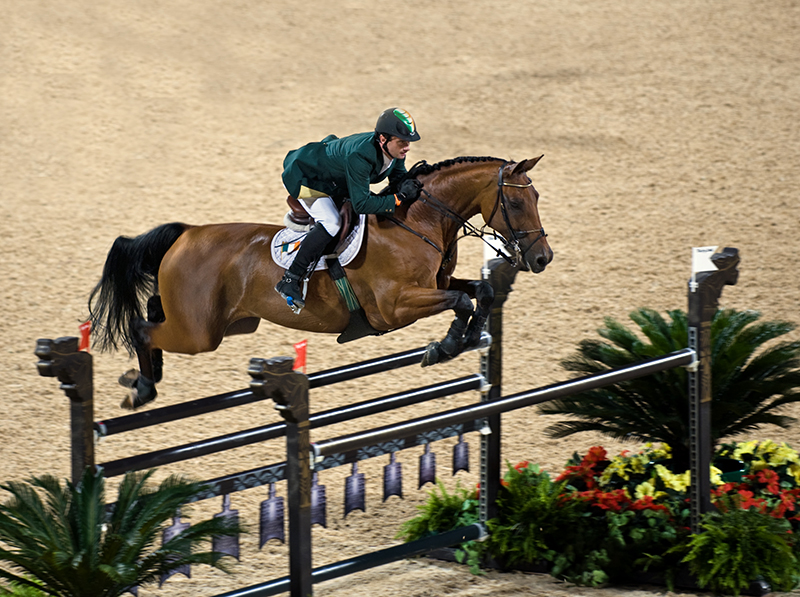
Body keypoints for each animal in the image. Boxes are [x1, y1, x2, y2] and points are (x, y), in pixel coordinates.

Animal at [86, 155, 552, 410]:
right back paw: (142, 388)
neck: (417, 220)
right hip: (200, 334)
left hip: (219, 322)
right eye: (514, 202)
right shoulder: (396, 306)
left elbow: (480, 291)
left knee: (153, 313)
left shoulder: (437, 281)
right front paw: (446, 346)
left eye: (537, 197)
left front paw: (469, 338)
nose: (542, 258)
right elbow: (459, 299)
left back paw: (147, 376)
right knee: (142, 328)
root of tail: (186, 233)